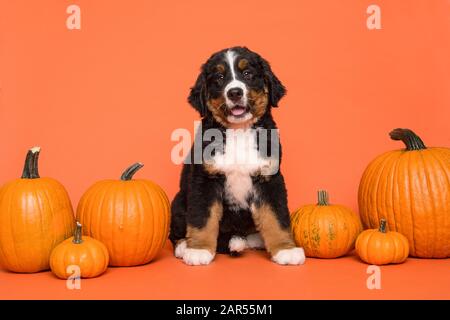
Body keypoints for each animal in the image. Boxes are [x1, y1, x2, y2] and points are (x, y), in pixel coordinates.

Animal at [170, 45, 306, 264]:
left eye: (248, 74)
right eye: (219, 77)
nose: (234, 92)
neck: (239, 131)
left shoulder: (270, 179)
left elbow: (276, 217)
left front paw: (285, 249)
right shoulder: (204, 180)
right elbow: (202, 217)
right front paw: (199, 249)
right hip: (178, 201)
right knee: (176, 232)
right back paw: (185, 245)